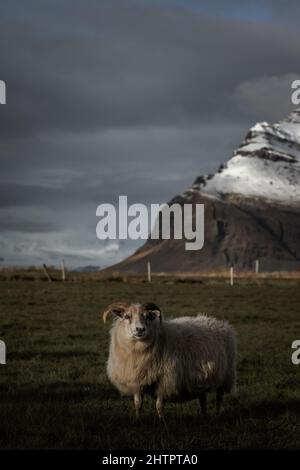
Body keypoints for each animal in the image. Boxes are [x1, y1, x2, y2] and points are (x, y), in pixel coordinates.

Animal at [103, 302, 237, 418]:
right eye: (127, 316)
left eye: (147, 316)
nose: (140, 329)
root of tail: (220, 323)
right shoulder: (136, 380)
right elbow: (137, 404)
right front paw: (138, 419)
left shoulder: (164, 380)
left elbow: (159, 405)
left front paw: (162, 421)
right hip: (202, 378)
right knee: (203, 399)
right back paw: (204, 415)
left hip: (226, 375)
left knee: (219, 398)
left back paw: (217, 415)